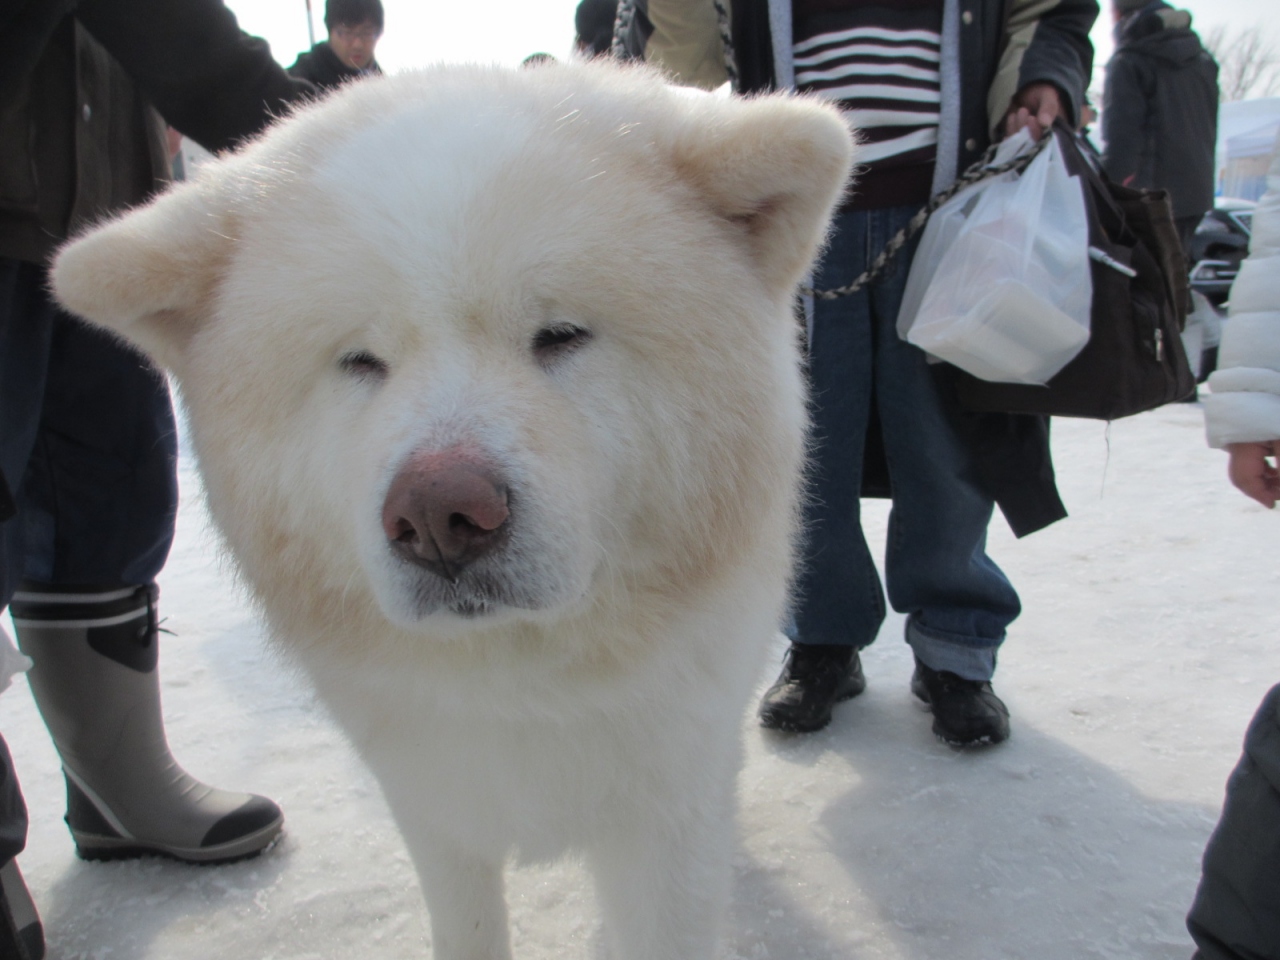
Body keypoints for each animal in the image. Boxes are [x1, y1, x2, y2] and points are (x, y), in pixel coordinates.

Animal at [49, 64, 855, 957]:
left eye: (559, 335)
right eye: (360, 362)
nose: (439, 515)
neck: (519, 681)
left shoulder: (665, 809)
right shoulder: (433, 800)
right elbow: (466, 922)